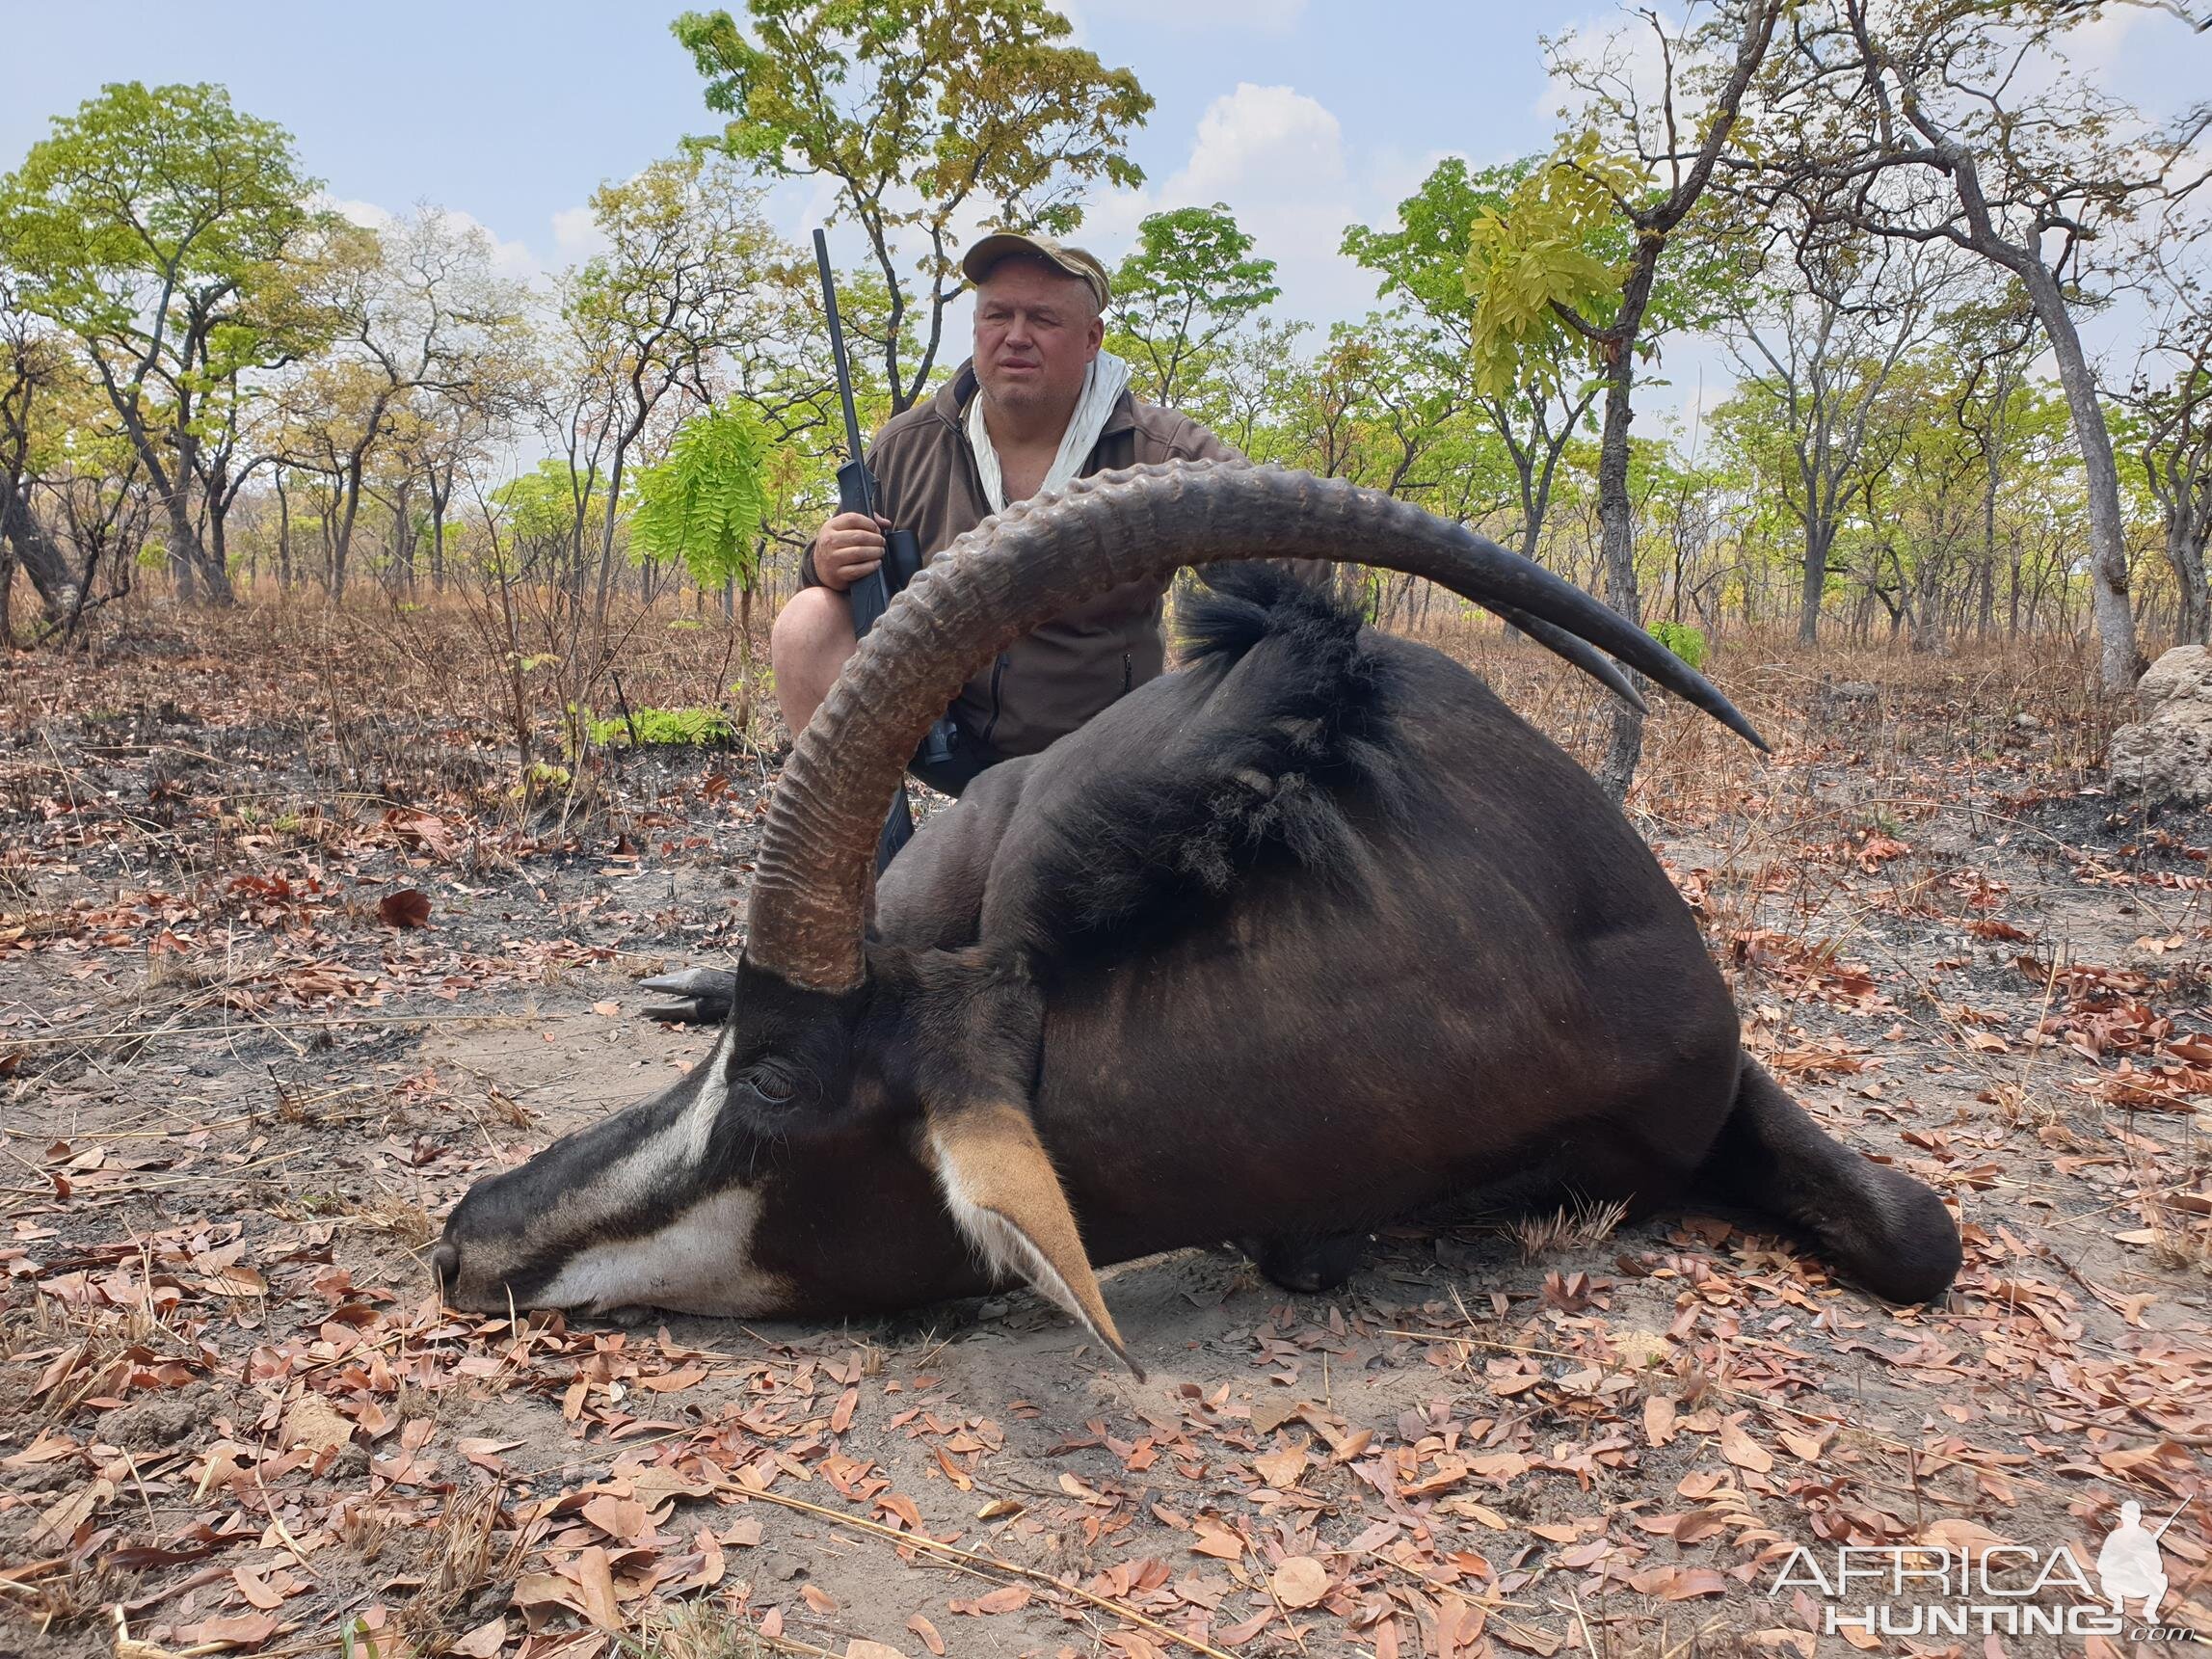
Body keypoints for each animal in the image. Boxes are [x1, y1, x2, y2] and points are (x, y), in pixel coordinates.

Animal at [436, 462, 1973, 1371]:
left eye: (770, 1081)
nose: (467, 1233)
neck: (1501, 955)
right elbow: (1301, 1246)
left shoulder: (1711, 1067)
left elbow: (1918, 1232)